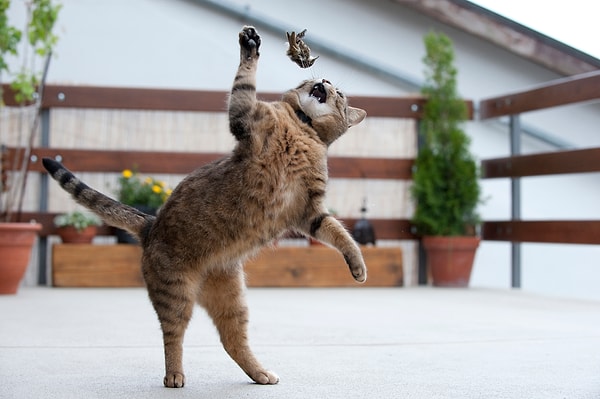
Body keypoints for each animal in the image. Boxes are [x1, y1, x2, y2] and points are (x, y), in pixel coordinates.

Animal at [41, 25, 366, 388]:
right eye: (323, 83)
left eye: (339, 92)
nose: (324, 81)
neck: (302, 126)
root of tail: (150, 224)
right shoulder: (245, 120)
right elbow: (244, 82)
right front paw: (249, 46)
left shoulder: (309, 211)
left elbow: (341, 235)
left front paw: (357, 268)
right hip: (176, 295)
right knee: (173, 336)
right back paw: (174, 375)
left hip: (232, 299)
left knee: (230, 339)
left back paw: (259, 373)